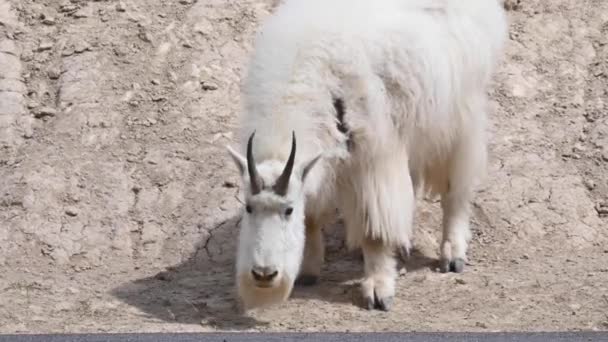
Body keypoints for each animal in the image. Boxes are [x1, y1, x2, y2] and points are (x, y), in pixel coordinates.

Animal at [226, 0, 506, 312]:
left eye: (288, 210)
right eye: (248, 207)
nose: (263, 275)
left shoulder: (373, 161)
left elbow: (376, 229)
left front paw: (378, 289)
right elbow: (312, 217)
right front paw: (308, 270)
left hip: (459, 116)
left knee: (455, 188)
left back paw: (452, 252)